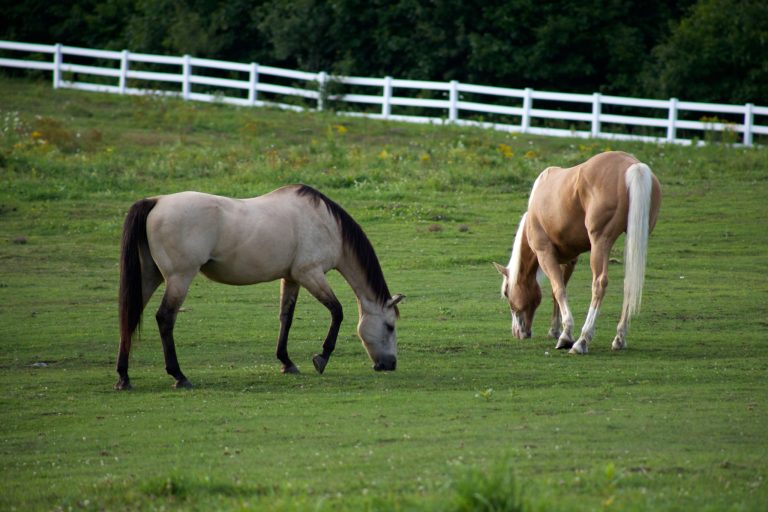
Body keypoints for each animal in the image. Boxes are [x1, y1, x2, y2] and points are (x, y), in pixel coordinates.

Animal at [116, 184, 403, 390]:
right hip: (179, 278)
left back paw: (124, 377)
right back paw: (179, 375)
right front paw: (321, 357)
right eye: (390, 326)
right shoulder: (310, 274)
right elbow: (337, 311)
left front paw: (286, 362)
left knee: (129, 316)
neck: (326, 223)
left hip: (150, 276)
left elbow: (286, 317)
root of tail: (156, 201)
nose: (390, 364)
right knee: (165, 318)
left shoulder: (292, 278)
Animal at [494, 151, 661, 354]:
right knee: (629, 283)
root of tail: (634, 166)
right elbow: (558, 291)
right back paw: (619, 338)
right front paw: (555, 330)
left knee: (599, 284)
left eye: (506, 293)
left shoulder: (545, 254)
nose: (518, 333)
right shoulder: (569, 259)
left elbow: (558, 290)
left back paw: (582, 340)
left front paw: (566, 335)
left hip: (600, 243)